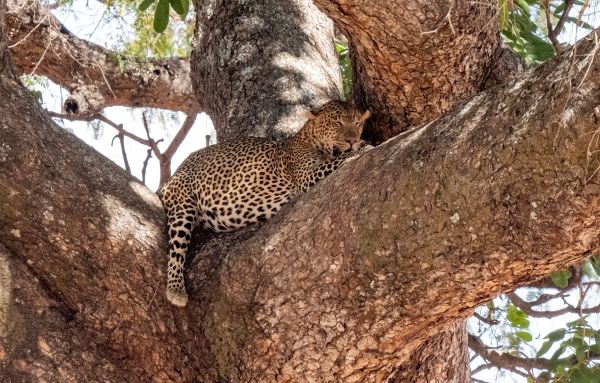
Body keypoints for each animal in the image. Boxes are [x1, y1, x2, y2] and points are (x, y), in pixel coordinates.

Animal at [159, 100, 370, 308]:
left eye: (358, 124)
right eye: (337, 124)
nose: (352, 140)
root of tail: (175, 173)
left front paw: (361, 144)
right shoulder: (307, 176)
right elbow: (337, 159)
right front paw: (365, 147)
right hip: (182, 204)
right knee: (176, 250)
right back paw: (175, 290)